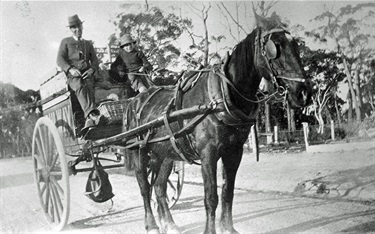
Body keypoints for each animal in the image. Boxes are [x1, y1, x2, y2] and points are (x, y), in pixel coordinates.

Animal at [122, 12, 312, 234]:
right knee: (145, 187)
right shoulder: (208, 153)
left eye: (296, 45)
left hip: (165, 152)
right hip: (139, 150)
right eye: (275, 47)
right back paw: (152, 225)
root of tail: (134, 101)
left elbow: (227, 192)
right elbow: (211, 197)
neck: (222, 95)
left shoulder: (234, 152)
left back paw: (169, 224)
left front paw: (228, 228)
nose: (304, 93)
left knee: (160, 187)